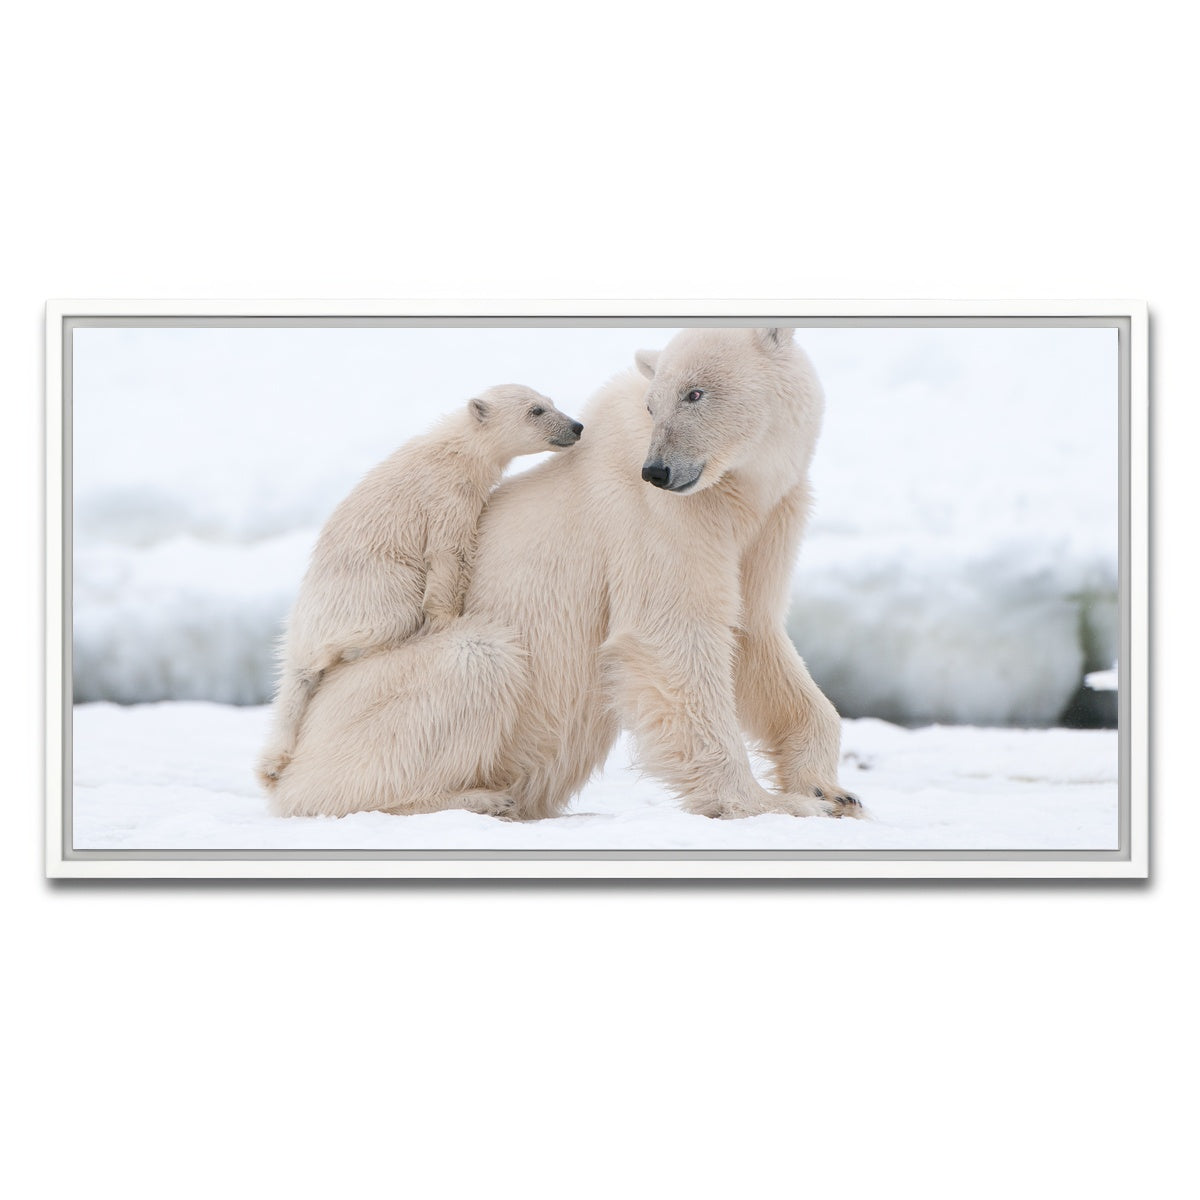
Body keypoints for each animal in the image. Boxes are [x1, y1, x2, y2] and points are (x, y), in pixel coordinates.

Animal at [256, 384, 583, 790]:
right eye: (535, 410)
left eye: (551, 402)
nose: (576, 426)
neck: (456, 449)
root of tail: (300, 632)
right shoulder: (446, 495)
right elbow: (448, 553)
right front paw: (446, 619)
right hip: (374, 587)